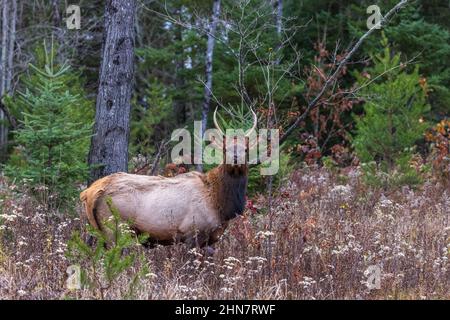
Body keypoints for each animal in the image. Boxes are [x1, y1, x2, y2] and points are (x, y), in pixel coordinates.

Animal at [80, 109, 256, 249]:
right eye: (225, 149)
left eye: (246, 149)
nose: (236, 159)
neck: (220, 204)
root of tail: (89, 192)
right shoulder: (192, 232)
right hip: (115, 228)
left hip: (101, 230)